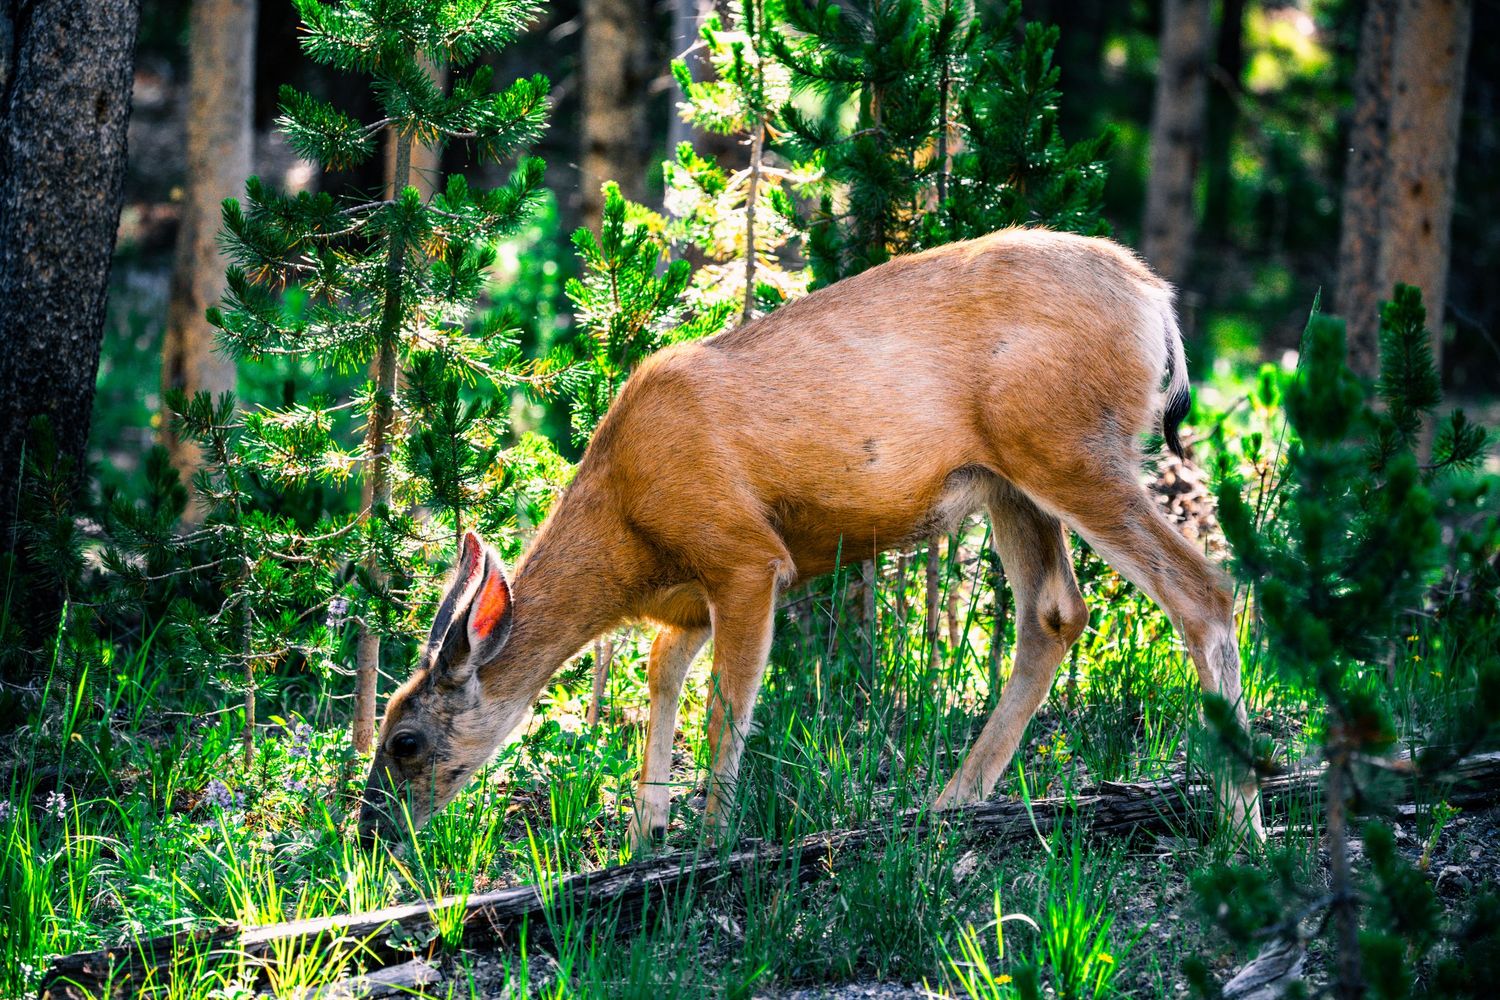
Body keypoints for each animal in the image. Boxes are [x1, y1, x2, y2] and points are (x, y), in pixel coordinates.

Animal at [356, 227, 1266, 851]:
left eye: (405, 742)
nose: (367, 833)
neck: (628, 532)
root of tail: (1157, 304)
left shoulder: (744, 555)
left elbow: (728, 706)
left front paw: (709, 836)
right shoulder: (684, 602)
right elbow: (661, 678)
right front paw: (644, 834)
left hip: (1070, 445)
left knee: (1205, 589)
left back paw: (1241, 817)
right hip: (1012, 477)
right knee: (1054, 614)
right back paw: (953, 800)